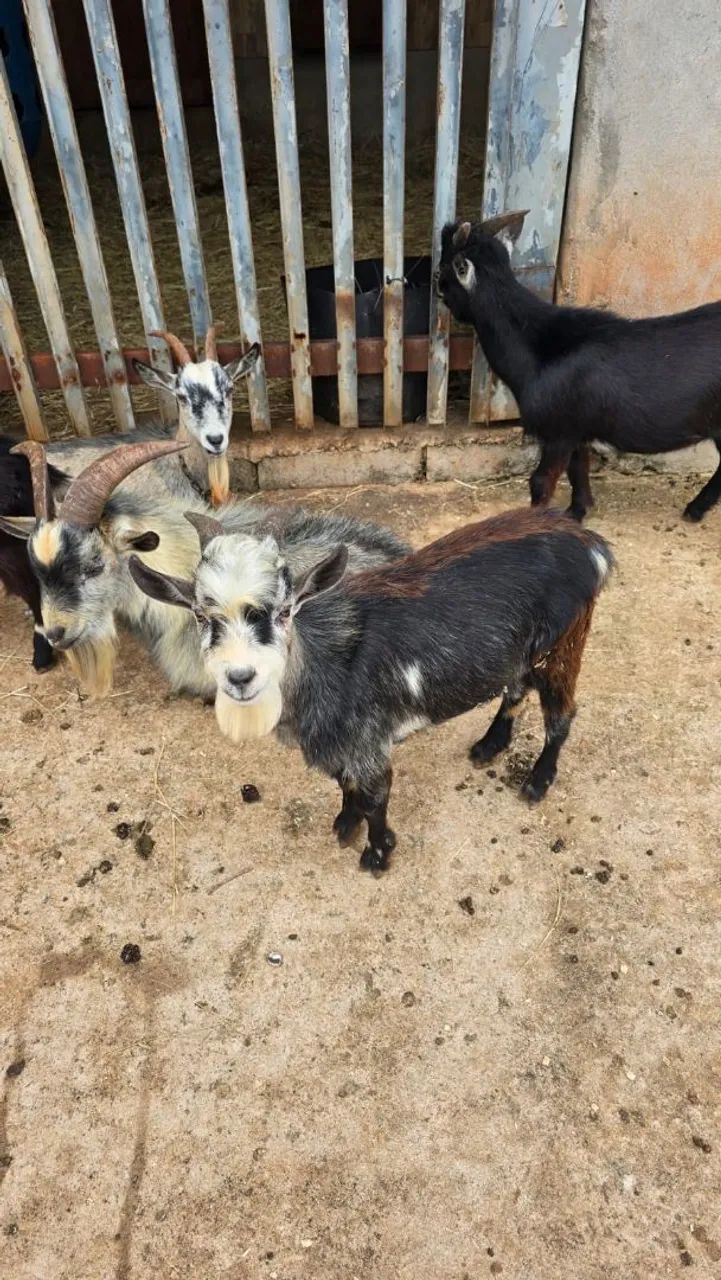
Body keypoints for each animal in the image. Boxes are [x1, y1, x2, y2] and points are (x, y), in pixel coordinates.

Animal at [129, 507, 613, 873]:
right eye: (200, 615)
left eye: (285, 611)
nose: (241, 676)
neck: (324, 663)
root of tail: (590, 541)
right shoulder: (338, 745)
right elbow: (345, 784)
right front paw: (346, 823)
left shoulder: (368, 740)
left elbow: (376, 795)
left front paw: (377, 853)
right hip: (519, 651)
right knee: (515, 688)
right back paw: (490, 744)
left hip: (564, 644)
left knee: (561, 714)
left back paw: (537, 782)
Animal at [437, 213, 721, 522]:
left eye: (442, 268)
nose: (438, 292)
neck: (538, 346)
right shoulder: (576, 428)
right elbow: (578, 468)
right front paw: (577, 511)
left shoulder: (558, 429)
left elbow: (541, 481)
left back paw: (695, 509)